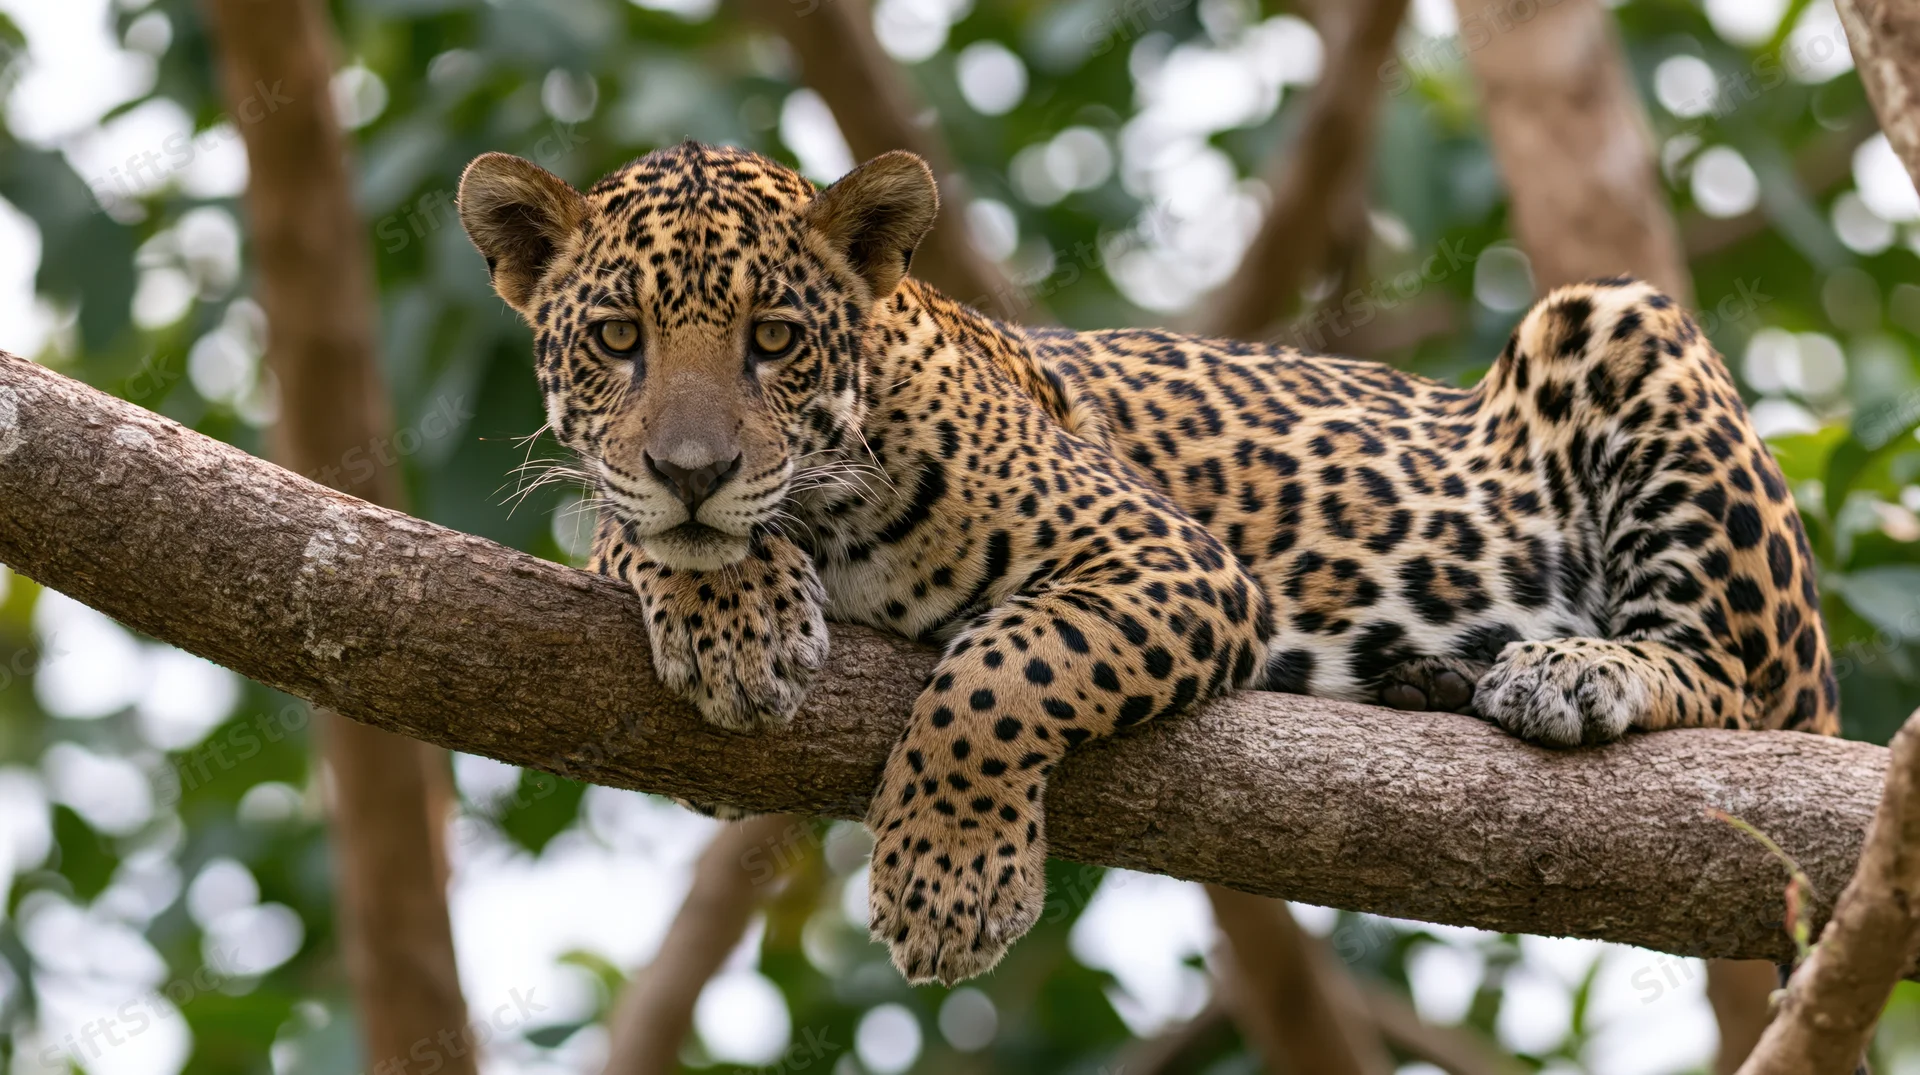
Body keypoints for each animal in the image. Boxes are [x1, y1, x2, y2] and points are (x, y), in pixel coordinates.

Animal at [457, 141, 1838, 987]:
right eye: (619, 339)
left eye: (778, 339)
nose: (692, 466)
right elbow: (630, 537)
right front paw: (728, 608)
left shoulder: (1170, 560)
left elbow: (1001, 670)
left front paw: (949, 880)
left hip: (1617, 326)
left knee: (1740, 685)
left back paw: (1572, 668)